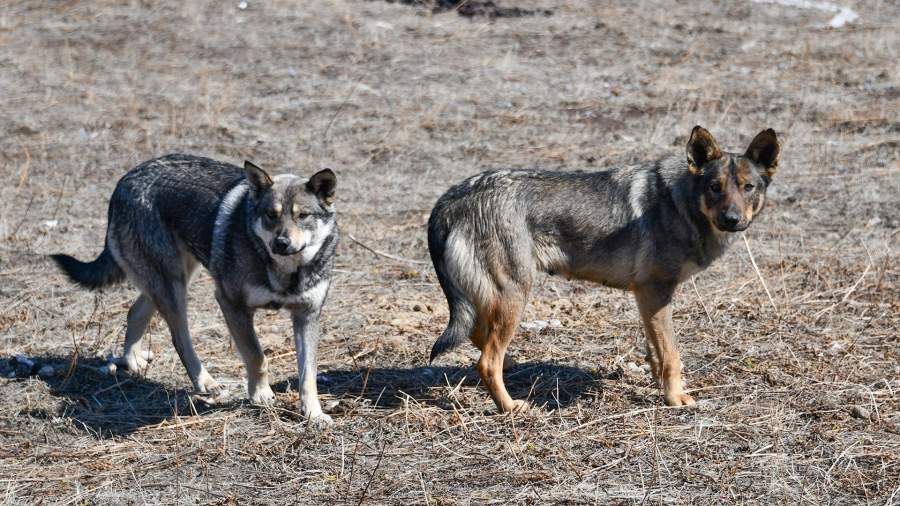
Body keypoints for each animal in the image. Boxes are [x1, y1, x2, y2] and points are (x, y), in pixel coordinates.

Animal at [53, 153, 342, 422]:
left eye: (303, 216)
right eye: (271, 215)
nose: (281, 243)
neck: (285, 271)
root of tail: (125, 180)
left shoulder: (307, 316)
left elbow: (308, 375)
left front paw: (314, 415)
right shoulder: (231, 304)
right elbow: (257, 356)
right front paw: (261, 395)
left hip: (173, 279)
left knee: (135, 311)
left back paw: (133, 361)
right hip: (173, 287)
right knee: (179, 338)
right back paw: (204, 381)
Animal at [428, 125, 780, 412]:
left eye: (748, 187)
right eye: (715, 187)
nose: (732, 220)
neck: (681, 204)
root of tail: (450, 198)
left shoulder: (647, 299)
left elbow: (656, 351)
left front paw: (658, 386)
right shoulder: (656, 292)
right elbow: (672, 354)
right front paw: (674, 398)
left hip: (494, 298)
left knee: (479, 338)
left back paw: (512, 365)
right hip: (515, 294)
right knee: (487, 361)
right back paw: (510, 406)